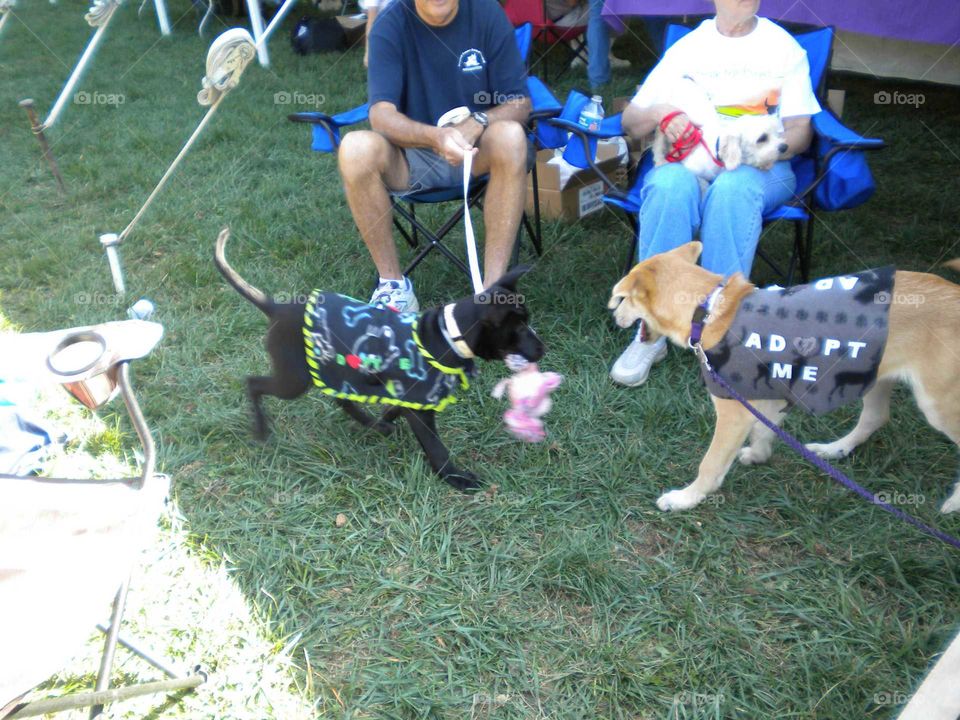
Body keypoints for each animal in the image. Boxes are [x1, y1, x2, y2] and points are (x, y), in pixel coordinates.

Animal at [214, 228, 544, 492]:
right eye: (519, 329)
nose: (543, 349)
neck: (446, 333)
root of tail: (275, 308)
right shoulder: (420, 408)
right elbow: (436, 448)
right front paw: (456, 478)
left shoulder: (409, 395)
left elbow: (395, 406)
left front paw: (385, 419)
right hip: (293, 378)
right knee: (253, 383)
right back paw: (260, 429)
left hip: (337, 369)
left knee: (341, 399)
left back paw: (372, 425)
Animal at [608, 242, 960, 512]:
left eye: (622, 299)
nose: (613, 315)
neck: (707, 312)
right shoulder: (768, 394)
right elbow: (764, 431)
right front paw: (759, 455)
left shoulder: (733, 412)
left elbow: (710, 464)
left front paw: (685, 499)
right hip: (872, 374)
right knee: (875, 417)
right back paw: (834, 450)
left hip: (937, 404)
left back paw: (954, 503)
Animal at [652, 77, 788, 190]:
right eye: (762, 138)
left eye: (777, 134)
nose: (784, 147)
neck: (716, 154)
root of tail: (683, 79)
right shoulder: (693, 170)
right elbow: (703, 185)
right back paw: (660, 160)